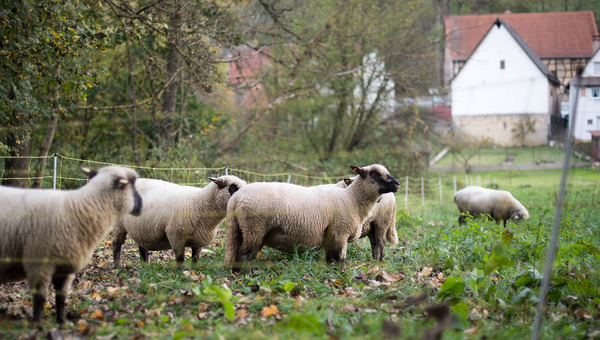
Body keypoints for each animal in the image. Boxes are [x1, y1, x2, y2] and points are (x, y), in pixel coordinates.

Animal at [0, 166, 142, 326]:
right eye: (132, 183)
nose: (141, 205)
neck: (76, 209)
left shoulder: (65, 266)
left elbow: (61, 296)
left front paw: (62, 322)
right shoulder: (39, 262)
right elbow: (40, 297)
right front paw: (37, 324)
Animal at [112, 175, 246, 266]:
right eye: (233, 187)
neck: (199, 203)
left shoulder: (199, 240)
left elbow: (195, 258)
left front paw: (194, 271)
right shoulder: (176, 235)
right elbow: (180, 259)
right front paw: (181, 273)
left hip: (142, 228)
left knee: (142, 248)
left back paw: (146, 265)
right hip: (119, 224)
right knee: (116, 244)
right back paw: (118, 266)